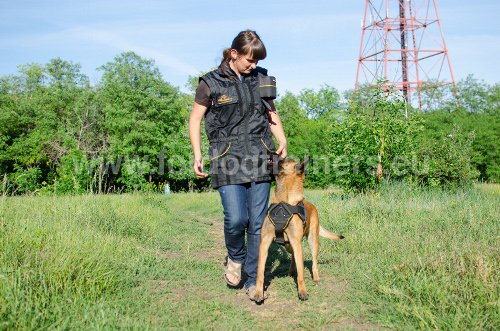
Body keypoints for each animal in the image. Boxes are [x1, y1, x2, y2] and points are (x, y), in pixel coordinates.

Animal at [254, 158, 344, 304]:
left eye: (283, 160)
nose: (269, 156)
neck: (282, 202)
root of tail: (312, 205)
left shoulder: (296, 243)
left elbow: (301, 272)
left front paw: (302, 292)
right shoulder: (265, 242)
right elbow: (260, 271)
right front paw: (258, 292)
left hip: (312, 241)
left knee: (314, 262)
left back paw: (316, 278)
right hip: (289, 245)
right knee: (293, 257)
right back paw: (291, 271)